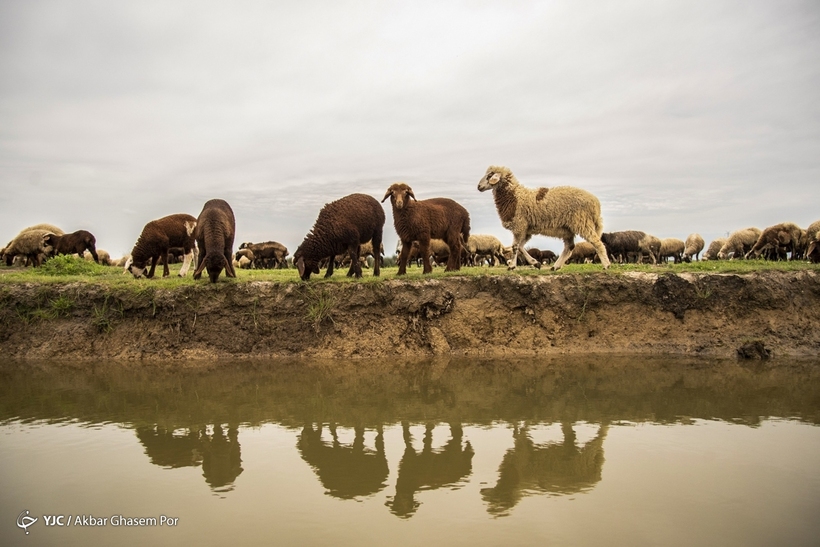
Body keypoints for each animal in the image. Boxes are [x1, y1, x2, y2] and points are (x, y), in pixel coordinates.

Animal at [480, 166, 608, 270]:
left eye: (489, 175)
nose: (479, 186)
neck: (514, 197)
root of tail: (595, 203)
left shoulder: (519, 225)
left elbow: (515, 247)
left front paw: (512, 266)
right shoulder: (526, 230)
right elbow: (520, 247)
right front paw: (535, 263)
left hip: (582, 222)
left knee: (597, 243)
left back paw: (606, 265)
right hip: (567, 229)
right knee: (569, 247)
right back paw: (556, 266)